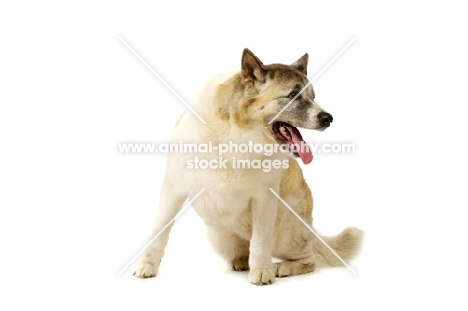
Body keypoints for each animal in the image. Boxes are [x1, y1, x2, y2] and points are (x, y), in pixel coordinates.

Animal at [133, 48, 364, 286]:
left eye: (313, 97)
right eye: (293, 95)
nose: (328, 118)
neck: (238, 136)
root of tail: (312, 230)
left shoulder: (264, 198)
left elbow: (260, 241)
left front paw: (262, 271)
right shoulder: (173, 189)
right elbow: (158, 232)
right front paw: (146, 266)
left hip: (285, 231)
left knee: (309, 260)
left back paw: (282, 267)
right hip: (221, 237)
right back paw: (242, 261)